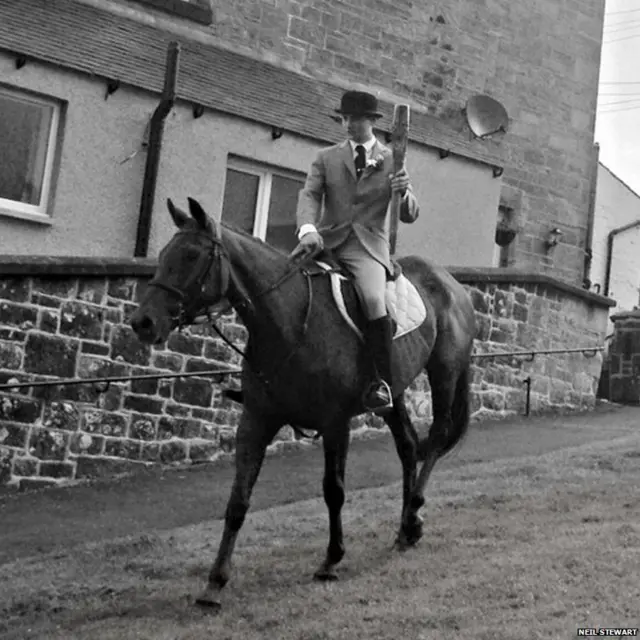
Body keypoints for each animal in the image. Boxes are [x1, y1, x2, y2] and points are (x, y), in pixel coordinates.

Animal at [129, 196, 476, 608]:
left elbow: (334, 490)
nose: (143, 323)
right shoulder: (256, 420)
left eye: (192, 256)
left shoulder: (335, 422)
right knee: (408, 446)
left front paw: (331, 560)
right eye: (163, 254)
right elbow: (237, 501)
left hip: (444, 373)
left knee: (435, 438)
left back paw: (414, 512)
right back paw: (407, 528)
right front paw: (214, 583)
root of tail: (450, 282)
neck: (288, 320)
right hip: (393, 393)